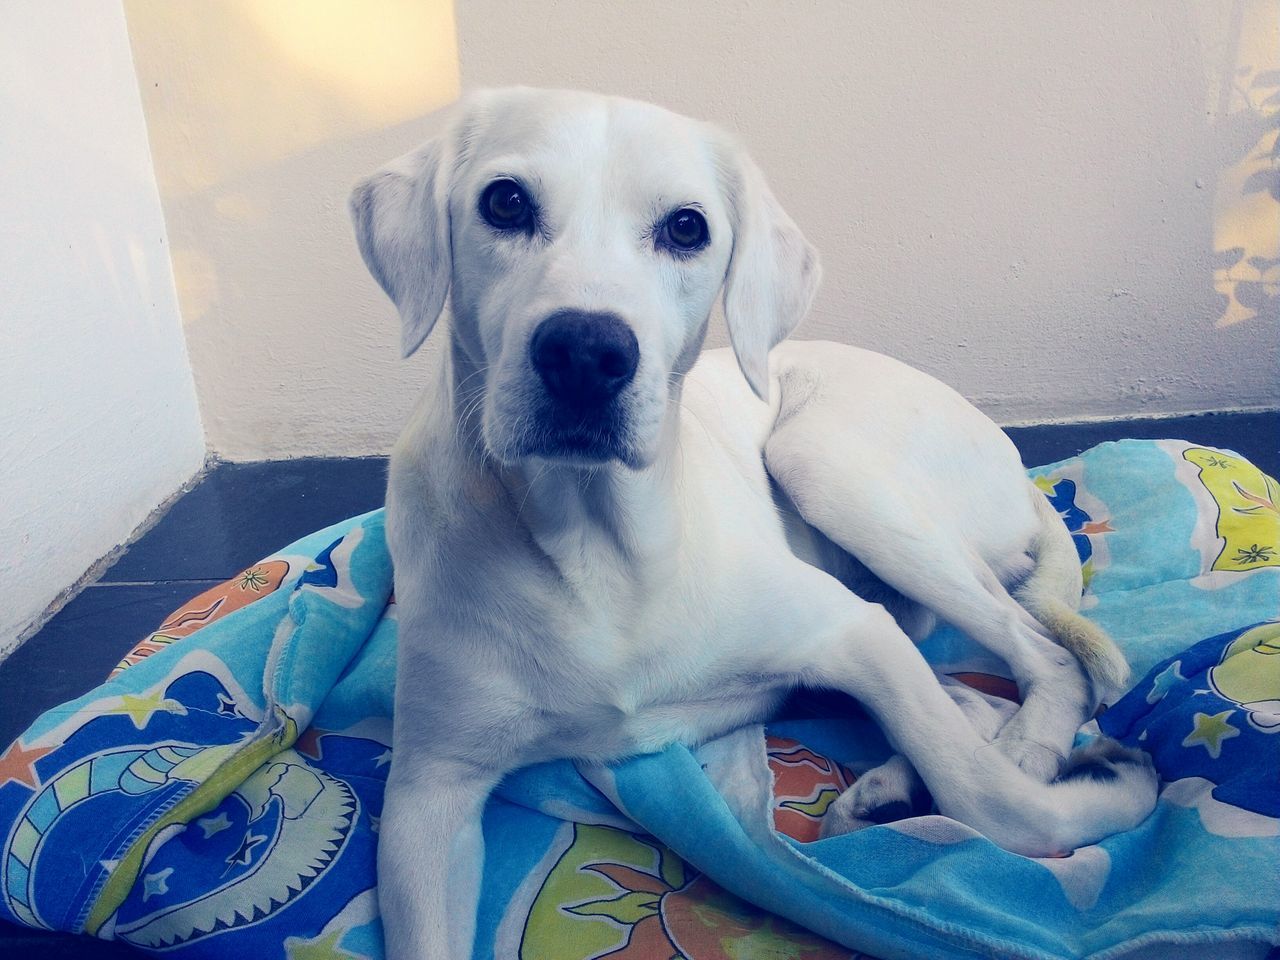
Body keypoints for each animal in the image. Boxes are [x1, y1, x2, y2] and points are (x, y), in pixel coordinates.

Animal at [350, 90, 1162, 960]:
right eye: (504, 202)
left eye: (686, 227)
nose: (585, 354)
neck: (596, 548)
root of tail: (1016, 461)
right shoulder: (428, 795)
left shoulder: (851, 633)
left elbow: (995, 803)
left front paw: (1101, 788)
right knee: (970, 695)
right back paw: (893, 788)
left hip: (823, 467)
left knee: (1043, 660)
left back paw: (1024, 752)